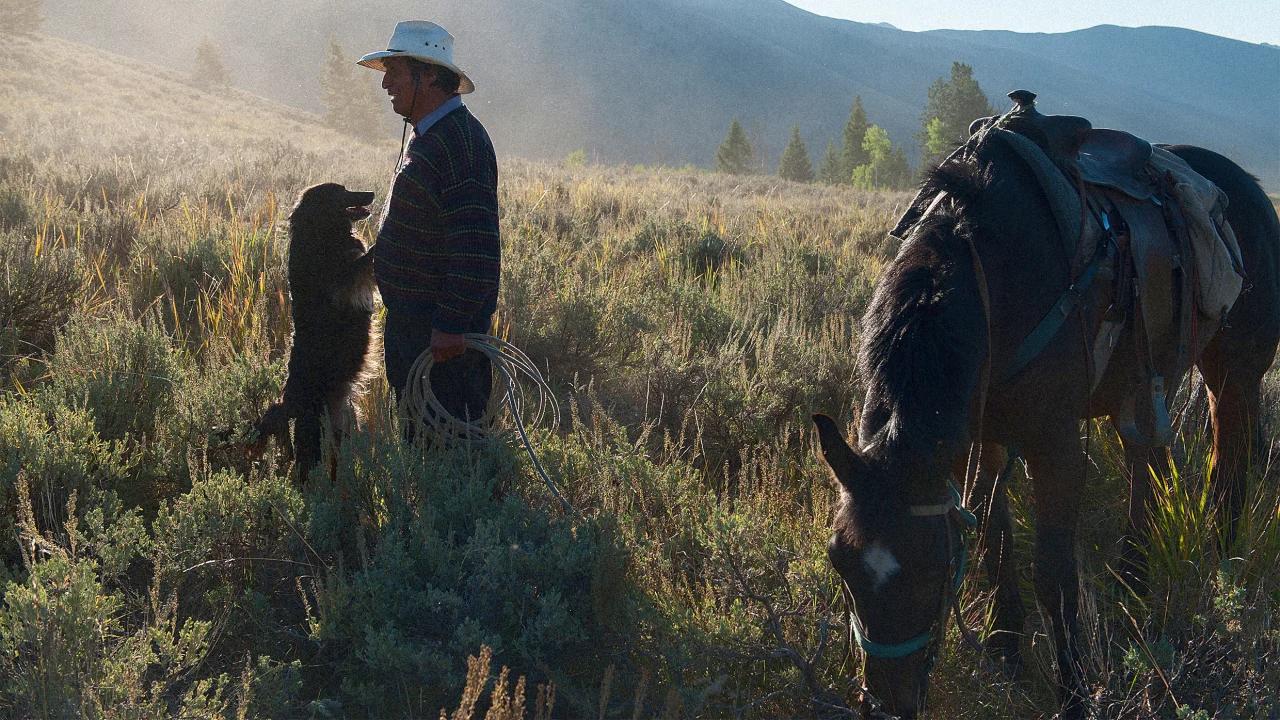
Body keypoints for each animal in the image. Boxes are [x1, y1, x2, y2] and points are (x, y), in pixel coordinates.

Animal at [253, 181, 373, 479]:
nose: (372, 194)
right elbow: (366, 259)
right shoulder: (343, 281)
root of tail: (287, 404)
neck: (321, 234)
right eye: (341, 191)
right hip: (315, 431)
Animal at [814, 103, 1274, 712]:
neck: (992, 275)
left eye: (932, 570)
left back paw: (1220, 575)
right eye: (840, 562)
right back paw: (1131, 589)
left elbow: (1054, 577)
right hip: (1145, 388)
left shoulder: (1055, 448)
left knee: (1229, 470)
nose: (886, 706)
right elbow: (993, 541)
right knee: (1146, 471)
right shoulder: (979, 436)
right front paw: (1007, 653)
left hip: (1235, 378)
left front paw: (1073, 692)